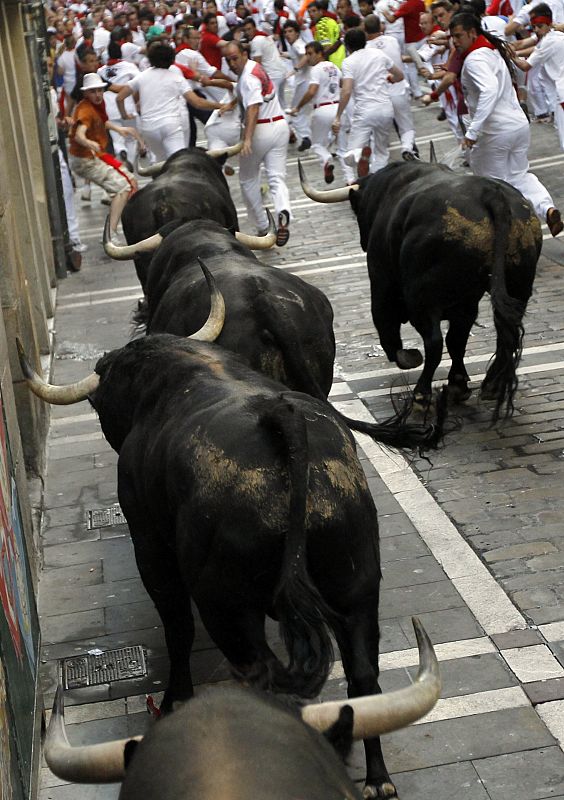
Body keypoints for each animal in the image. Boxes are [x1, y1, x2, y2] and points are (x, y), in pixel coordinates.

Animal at [22, 334, 442, 796]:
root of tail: (283, 428)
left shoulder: (149, 543)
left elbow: (177, 628)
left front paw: (176, 697)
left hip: (228, 608)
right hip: (358, 586)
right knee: (365, 679)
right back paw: (377, 779)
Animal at [302, 163, 544, 424]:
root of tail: (491, 194)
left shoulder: (382, 284)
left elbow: (388, 327)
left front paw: (407, 357)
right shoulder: (466, 303)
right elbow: (457, 341)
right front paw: (459, 384)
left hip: (421, 299)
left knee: (434, 342)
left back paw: (421, 395)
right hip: (516, 288)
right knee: (499, 335)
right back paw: (489, 385)